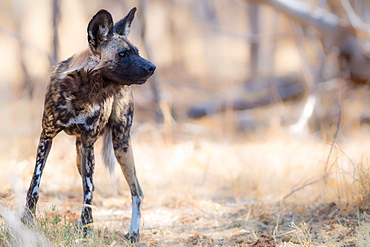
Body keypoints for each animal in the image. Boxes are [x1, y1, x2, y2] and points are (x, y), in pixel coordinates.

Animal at [22, 7, 155, 241]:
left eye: (137, 52)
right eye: (123, 54)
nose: (152, 67)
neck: (83, 93)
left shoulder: (89, 142)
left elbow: (89, 191)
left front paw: (86, 229)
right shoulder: (46, 136)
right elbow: (35, 184)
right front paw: (27, 220)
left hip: (120, 145)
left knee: (136, 191)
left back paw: (133, 233)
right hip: (81, 156)